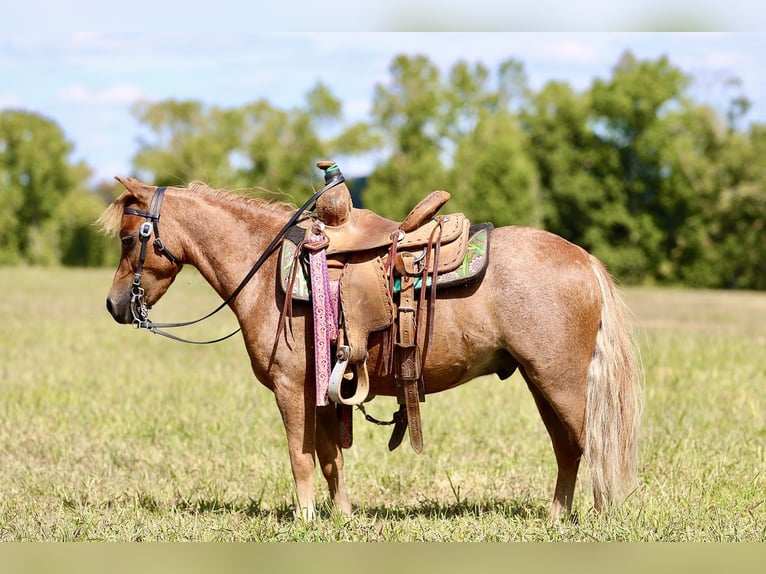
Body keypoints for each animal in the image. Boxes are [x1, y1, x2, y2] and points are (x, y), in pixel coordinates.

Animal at [98, 174, 642, 521]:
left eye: (128, 238)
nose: (114, 305)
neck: (269, 267)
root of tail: (585, 259)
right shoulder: (321, 389)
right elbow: (330, 457)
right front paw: (340, 517)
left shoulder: (289, 388)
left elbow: (300, 456)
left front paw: (307, 519)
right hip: (541, 382)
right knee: (567, 447)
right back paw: (557, 517)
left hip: (559, 381)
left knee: (588, 444)